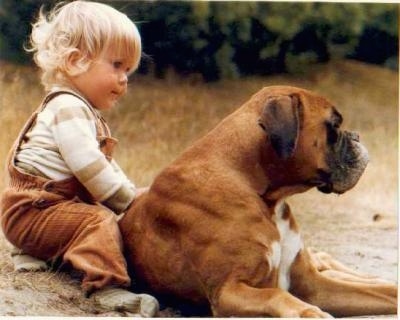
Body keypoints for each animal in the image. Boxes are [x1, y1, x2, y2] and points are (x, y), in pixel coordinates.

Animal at [119, 85, 396, 318]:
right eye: (334, 126)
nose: (356, 136)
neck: (265, 196)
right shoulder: (228, 291)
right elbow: (276, 294)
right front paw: (309, 312)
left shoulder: (312, 285)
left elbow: (384, 293)